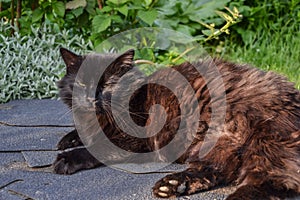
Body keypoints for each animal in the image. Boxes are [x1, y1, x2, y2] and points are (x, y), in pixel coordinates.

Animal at [52, 47, 298, 199]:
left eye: (108, 83)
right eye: (82, 83)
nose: (90, 98)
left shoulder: (132, 140)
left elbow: (96, 149)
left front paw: (67, 158)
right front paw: (67, 140)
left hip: (265, 142)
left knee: (273, 181)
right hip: (219, 145)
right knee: (217, 169)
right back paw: (172, 186)